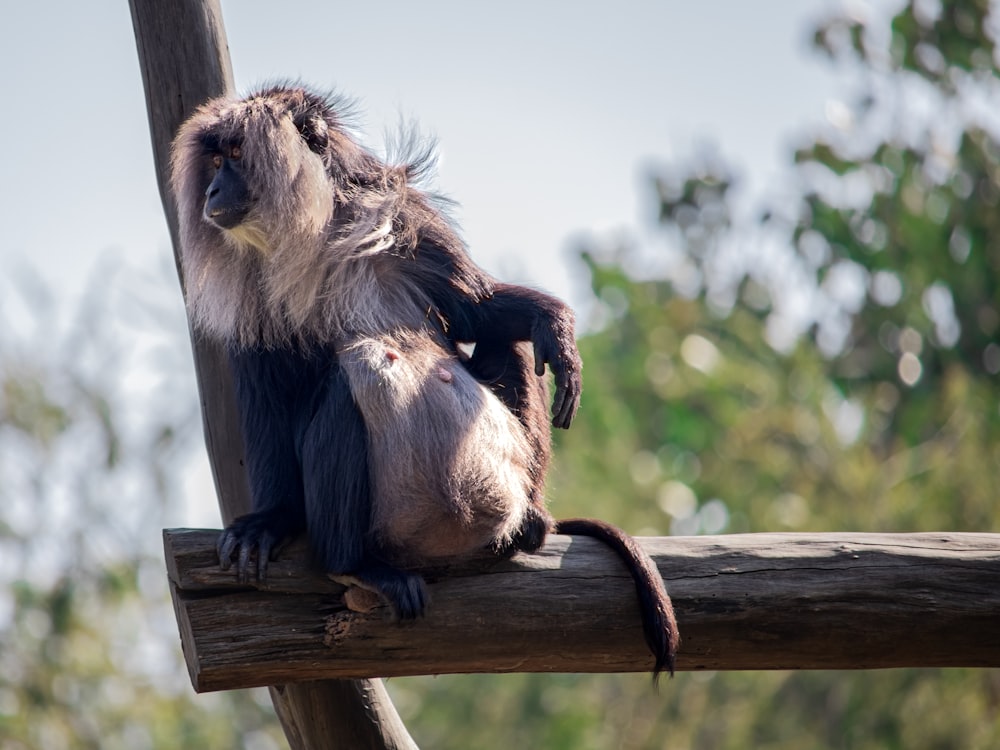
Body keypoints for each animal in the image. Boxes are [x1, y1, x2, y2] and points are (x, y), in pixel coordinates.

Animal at [170, 85, 680, 680]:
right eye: (215, 164)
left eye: (233, 157)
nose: (212, 190)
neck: (316, 237)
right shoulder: (253, 289)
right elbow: (269, 397)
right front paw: (269, 520)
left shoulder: (408, 216)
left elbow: (476, 311)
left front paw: (557, 329)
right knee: (343, 390)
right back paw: (354, 566)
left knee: (510, 344)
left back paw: (530, 521)